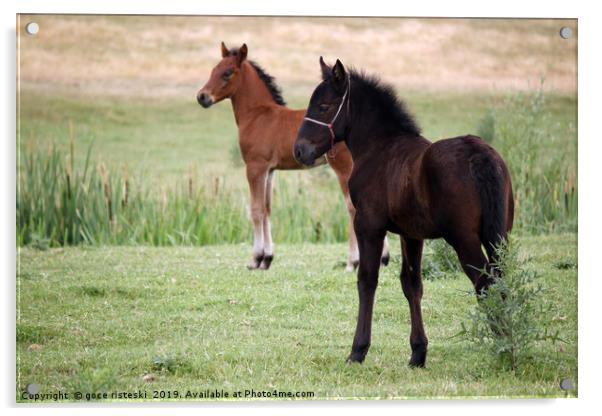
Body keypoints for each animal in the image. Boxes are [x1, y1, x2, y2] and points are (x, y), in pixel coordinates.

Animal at [195, 42, 386, 270]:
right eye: (213, 70)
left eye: (227, 73)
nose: (202, 97)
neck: (257, 114)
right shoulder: (269, 170)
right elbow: (267, 208)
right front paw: (267, 258)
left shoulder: (255, 167)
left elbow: (256, 210)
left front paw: (255, 258)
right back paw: (382, 258)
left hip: (343, 167)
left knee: (353, 207)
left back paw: (352, 262)